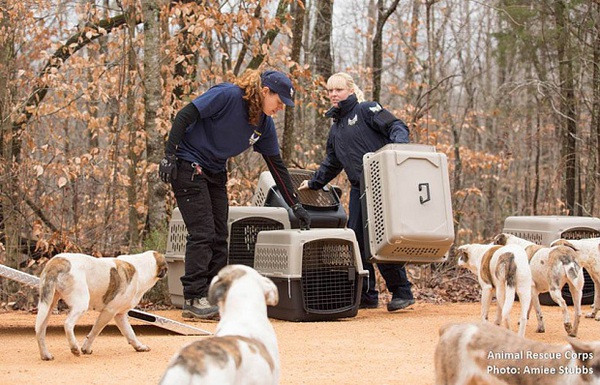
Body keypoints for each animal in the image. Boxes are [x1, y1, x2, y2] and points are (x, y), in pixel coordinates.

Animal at [35, 249, 168, 360]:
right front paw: (86, 349)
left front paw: (140, 347)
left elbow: (130, 334)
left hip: (48, 306)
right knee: (67, 324)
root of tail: (56, 262)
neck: (141, 267)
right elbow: (95, 331)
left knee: (40, 329)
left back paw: (45, 355)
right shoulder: (109, 311)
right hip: (81, 304)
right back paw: (74, 348)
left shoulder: (120, 315)